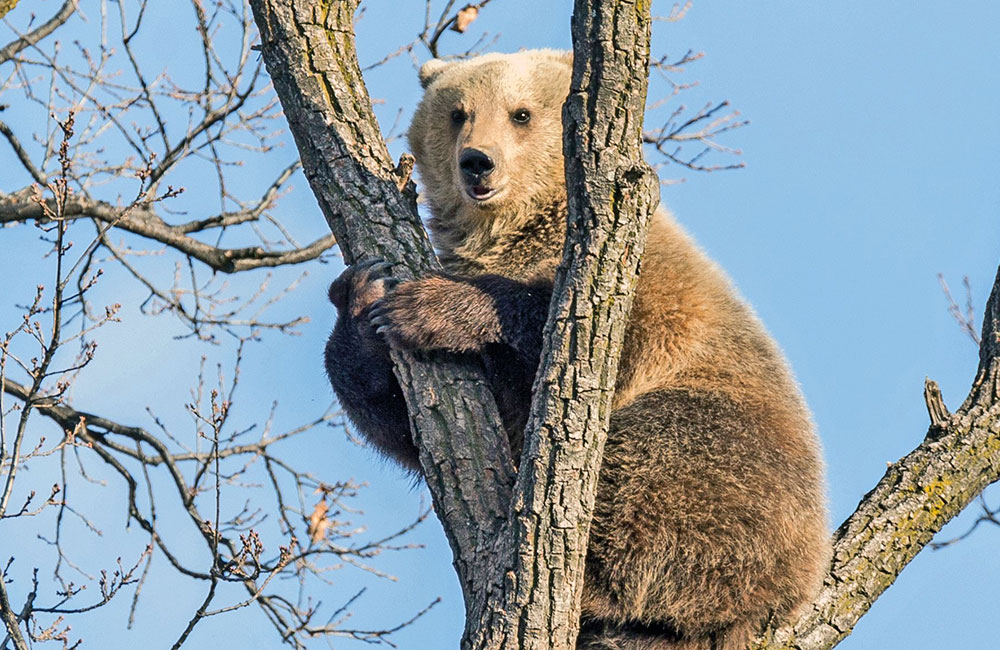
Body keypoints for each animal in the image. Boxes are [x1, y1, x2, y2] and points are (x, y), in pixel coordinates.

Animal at [326, 48, 828, 644]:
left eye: (520, 113)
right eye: (457, 112)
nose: (477, 162)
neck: (518, 230)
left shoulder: (638, 287)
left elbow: (586, 326)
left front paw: (431, 308)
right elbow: (397, 420)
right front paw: (363, 295)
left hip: (731, 456)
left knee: (650, 468)